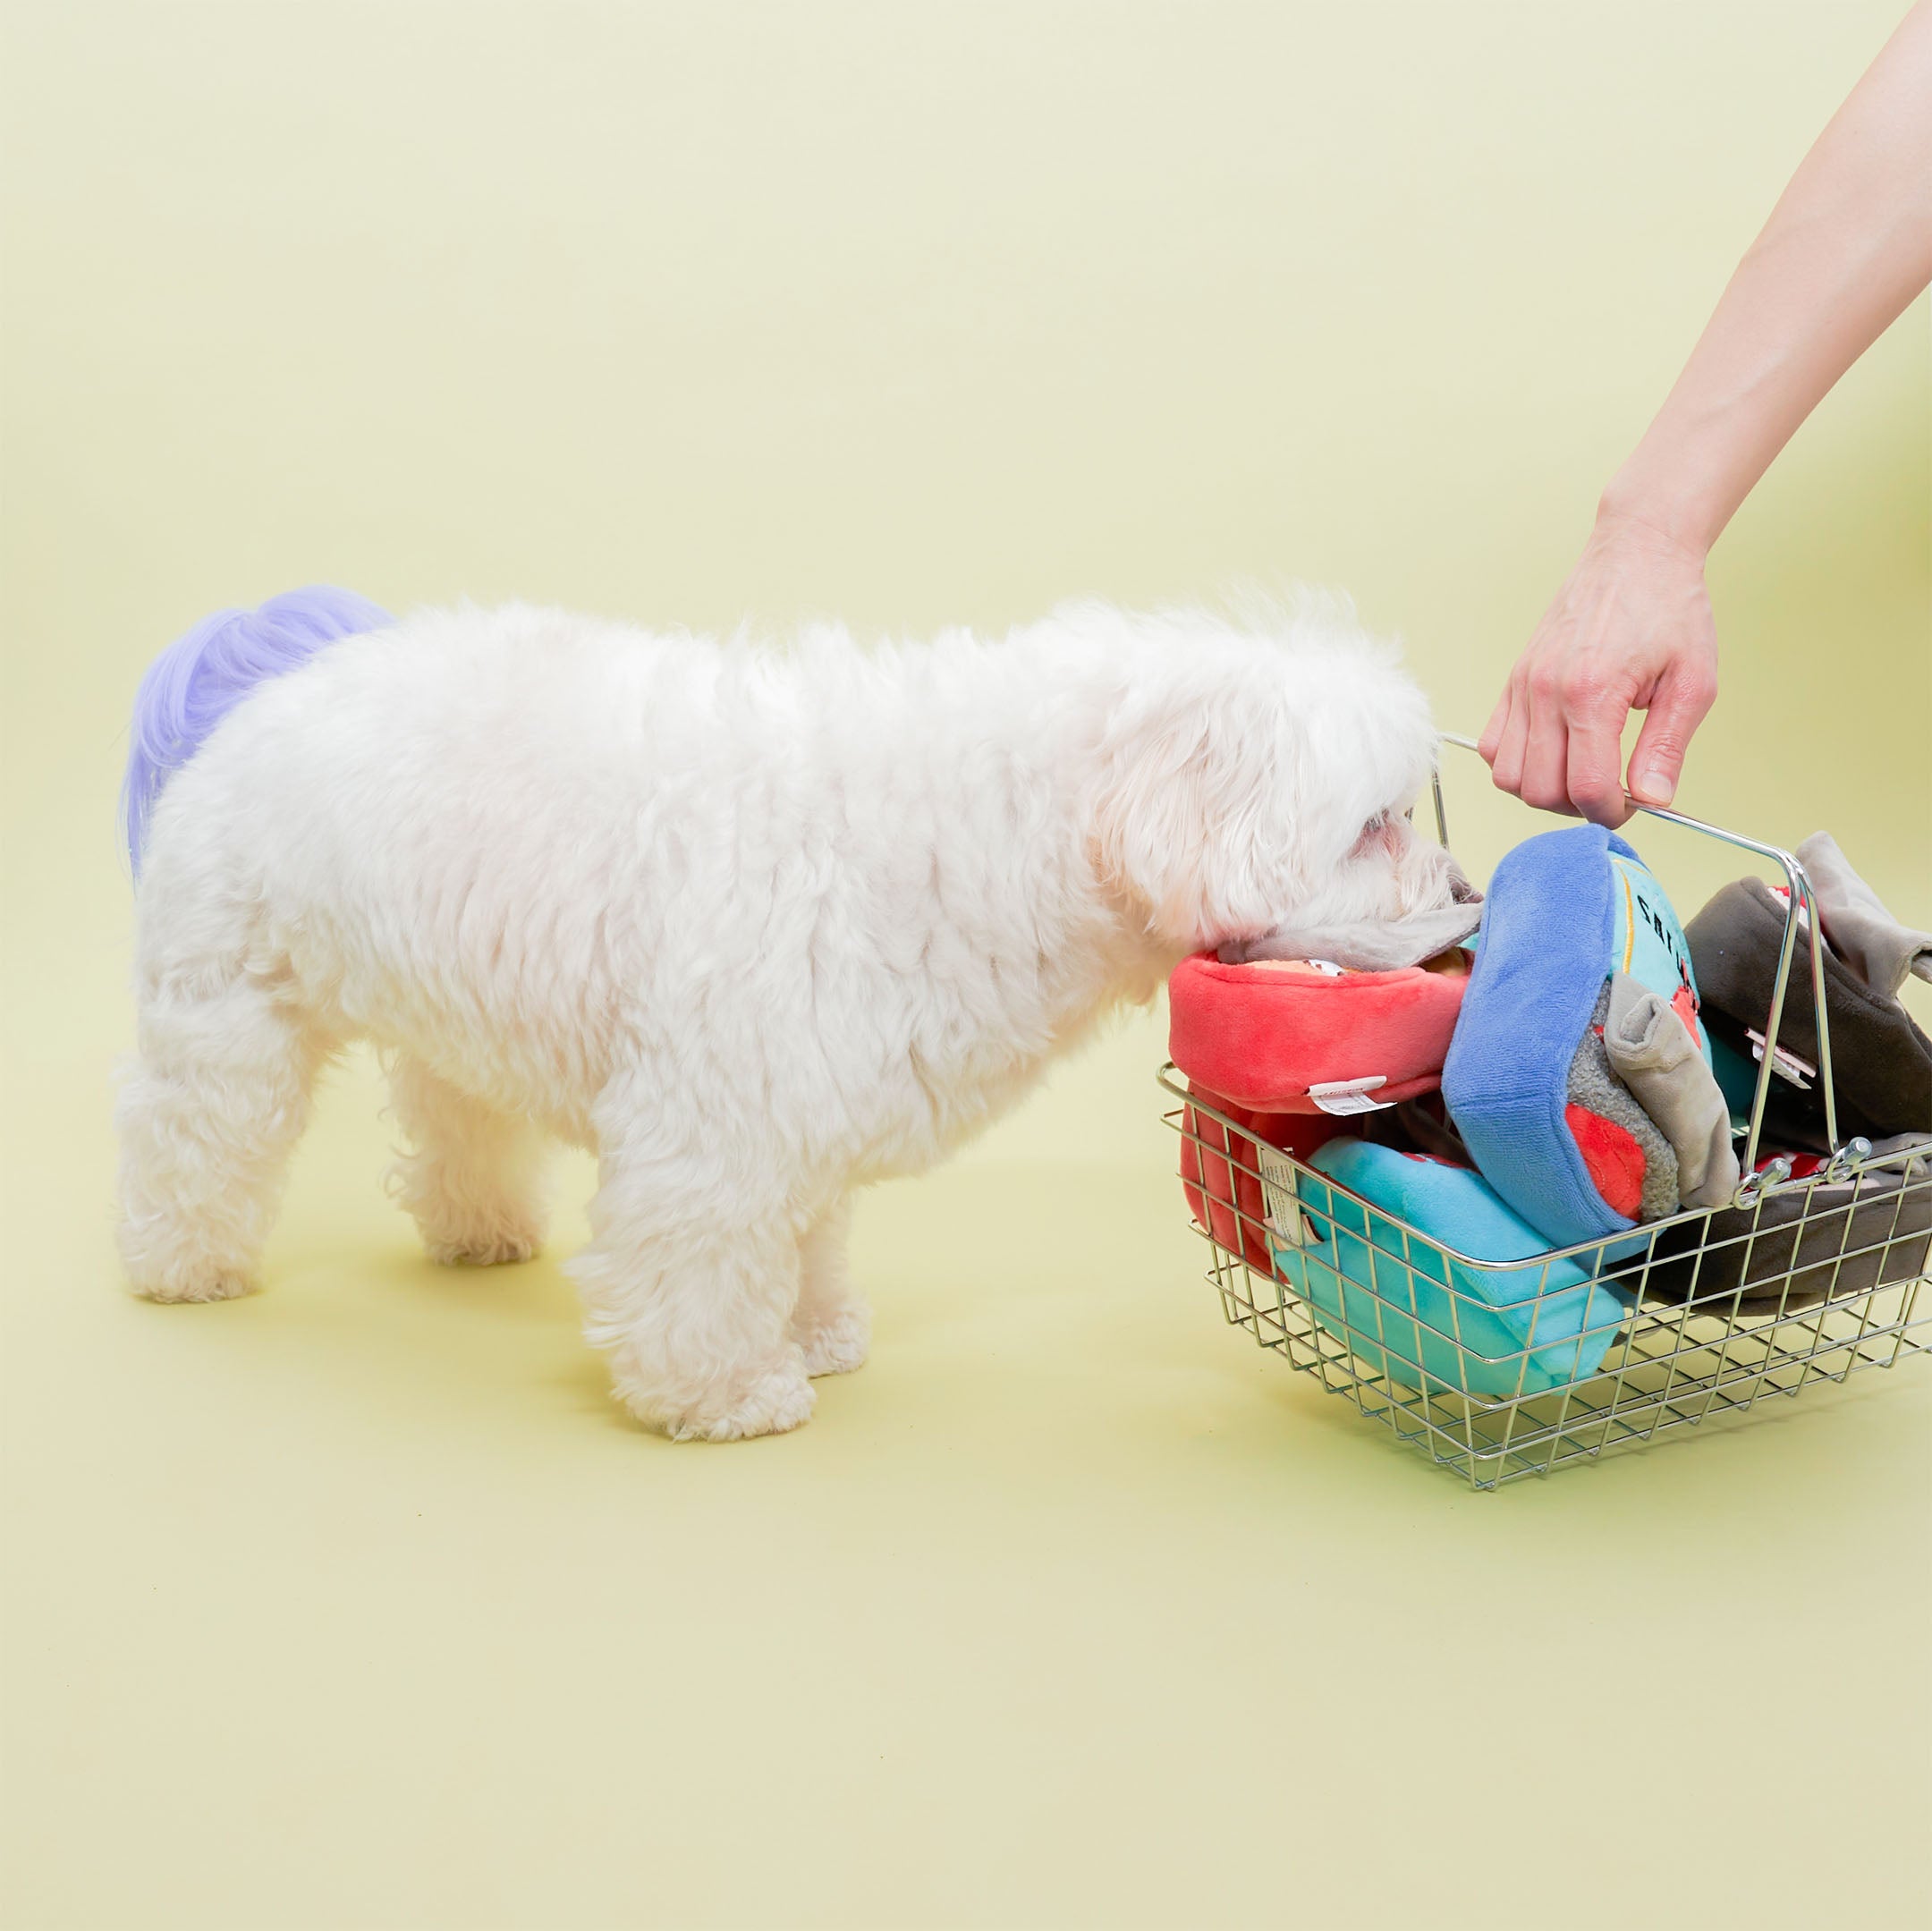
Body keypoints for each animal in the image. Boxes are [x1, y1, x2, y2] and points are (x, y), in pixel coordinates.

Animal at [113, 587, 1453, 1436]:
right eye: (1373, 825)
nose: (1462, 887)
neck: (992, 826)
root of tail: (273, 667)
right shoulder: (716, 1121)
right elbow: (701, 1261)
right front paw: (722, 1392)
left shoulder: (803, 1093)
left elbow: (802, 1237)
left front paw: (809, 1332)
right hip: (225, 1009)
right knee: (190, 1138)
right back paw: (184, 1263)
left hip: (451, 1007)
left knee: (456, 1117)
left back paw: (479, 1228)